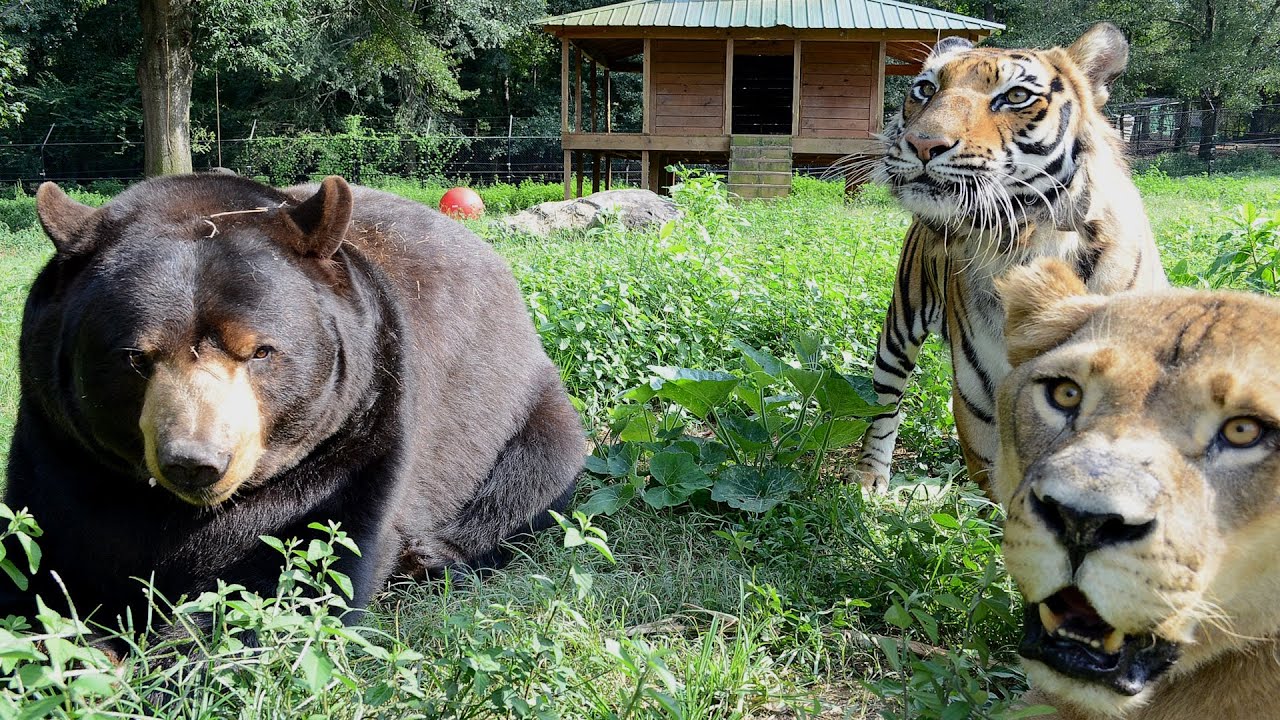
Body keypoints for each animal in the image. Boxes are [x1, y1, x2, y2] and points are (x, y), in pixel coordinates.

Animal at [0, 174, 583, 632]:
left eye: (260, 351)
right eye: (135, 358)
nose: (195, 462)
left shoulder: (359, 431)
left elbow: (306, 566)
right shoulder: (57, 444)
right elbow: (42, 557)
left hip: (520, 406)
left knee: (534, 473)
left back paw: (431, 556)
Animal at [852, 22, 1168, 493]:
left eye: (1016, 96)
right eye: (925, 89)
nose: (922, 143)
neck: (1025, 239)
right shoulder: (981, 400)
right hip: (899, 329)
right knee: (883, 405)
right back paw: (870, 478)